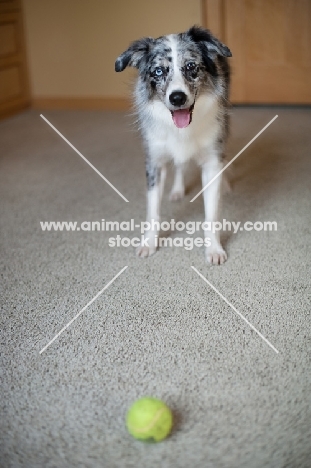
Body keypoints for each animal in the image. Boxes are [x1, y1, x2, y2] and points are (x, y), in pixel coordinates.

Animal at [116, 26, 233, 264]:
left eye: (191, 66)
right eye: (159, 71)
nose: (177, 98)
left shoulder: (211, 161)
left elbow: (212, 215)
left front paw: (214, 249)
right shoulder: (154, 162)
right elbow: (153, 211)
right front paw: (149, 244)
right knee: (180, 165)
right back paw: (178, 190)